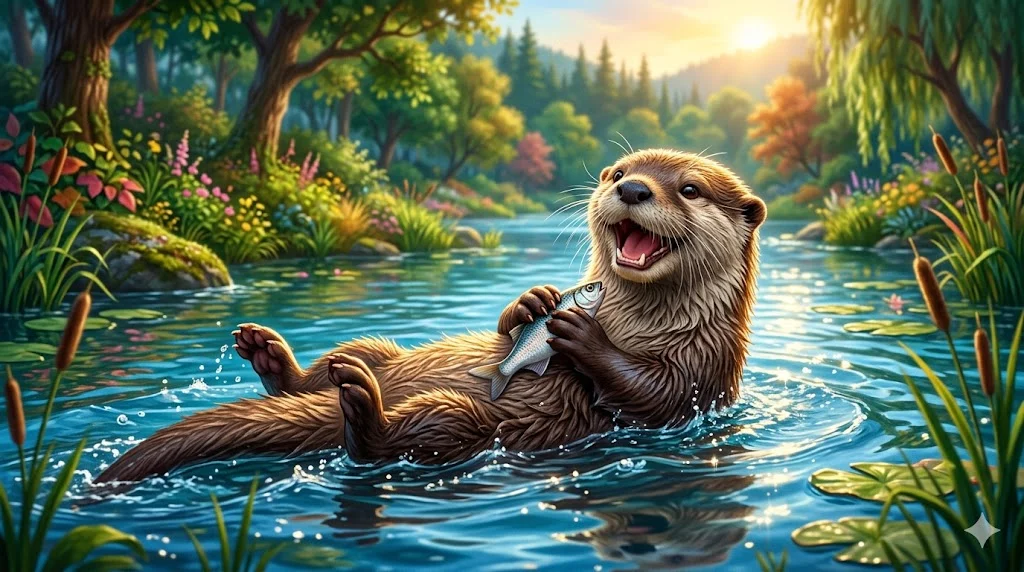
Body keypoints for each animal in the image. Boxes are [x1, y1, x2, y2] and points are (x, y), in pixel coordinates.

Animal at [97, 149, 766, 482]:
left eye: (688, 189)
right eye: (620, 173)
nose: (631, 190)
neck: (636, 318)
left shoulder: (706, 363)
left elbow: (653, 393)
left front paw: (582, 333)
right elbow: (514, 324)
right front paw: (533, 303)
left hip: (461, 421)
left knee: (390, 444)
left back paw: (360, 405)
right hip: (375, 346)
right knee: (335, 366)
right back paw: (271, 353)